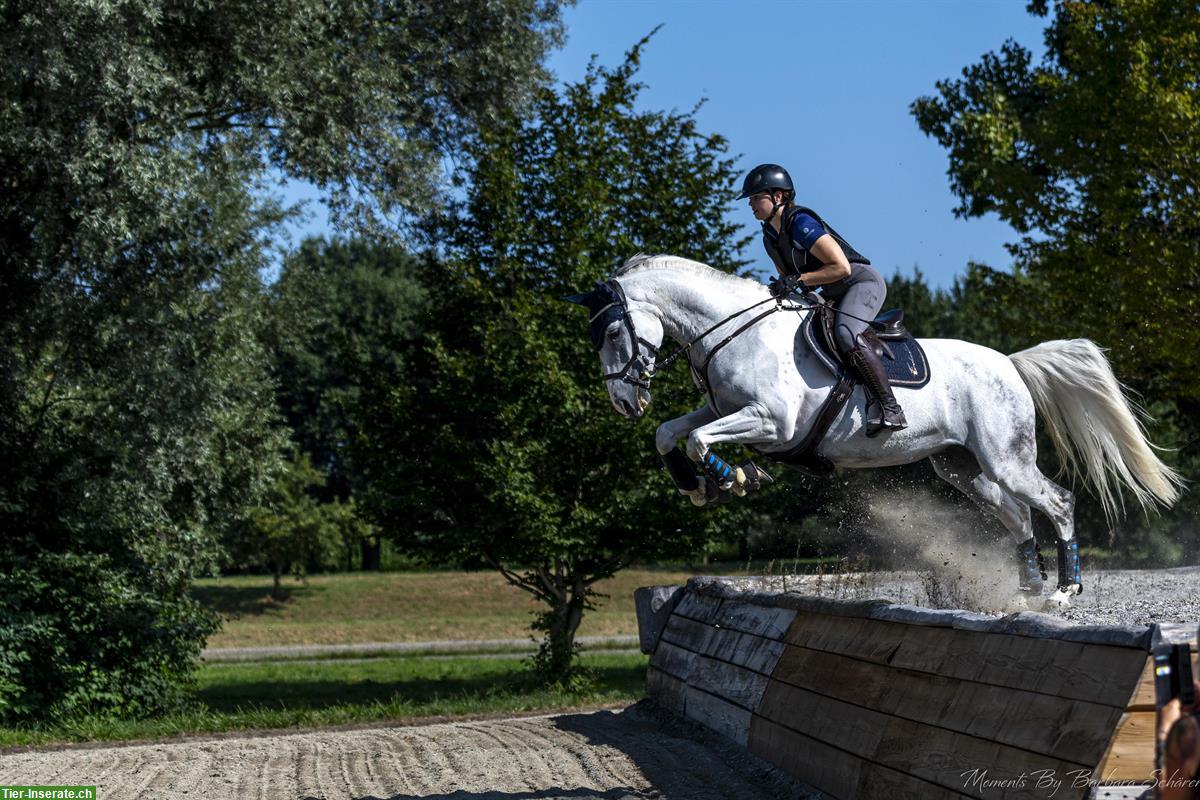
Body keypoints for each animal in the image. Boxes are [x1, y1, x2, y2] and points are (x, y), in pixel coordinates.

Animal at [561, 253, 1180, 609]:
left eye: (611, 332)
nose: (624, 402)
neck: (731, 332)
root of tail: (1008, 362)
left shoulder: (772, 421)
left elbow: (698, 439)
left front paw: (734, 477)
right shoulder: (724, 410)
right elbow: (671, 433)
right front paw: (699, 485)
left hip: (1007, 459)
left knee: (1056, 500)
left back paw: (1065, 590)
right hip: (963, 468)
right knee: (1016, 512)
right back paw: (1027, 585)